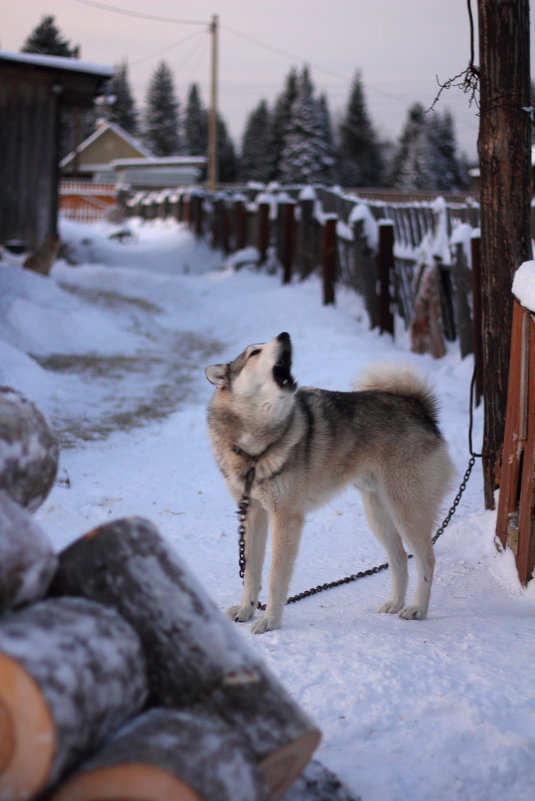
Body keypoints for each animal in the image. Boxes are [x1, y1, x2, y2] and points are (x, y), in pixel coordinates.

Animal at [205, 332, 452, 632]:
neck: (255, 446)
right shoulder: (253, 514)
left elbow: (275, 576)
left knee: (426, 559)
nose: (284, 335)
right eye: (254, 352)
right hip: (378, 514)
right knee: (400, 559)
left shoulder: (285, 518)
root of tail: (419, 410)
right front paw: (246, 610)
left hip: (407, 510)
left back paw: (417, 608)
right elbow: (251, 573)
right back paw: (395, 603)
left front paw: (270, 620)